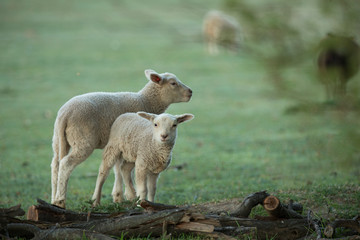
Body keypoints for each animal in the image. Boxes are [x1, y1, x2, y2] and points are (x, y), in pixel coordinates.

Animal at [51, 69, 193, 208]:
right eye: (173, 83)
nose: (190, 92)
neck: (146, 101)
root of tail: (65, 114)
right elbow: (121, 168)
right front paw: (126, 196)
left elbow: (118, 167)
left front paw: (119, 196)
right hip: (83, 140)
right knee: (66, 164)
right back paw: (61, 200)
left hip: (59, 139)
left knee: (55, 165)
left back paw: (54, 199)